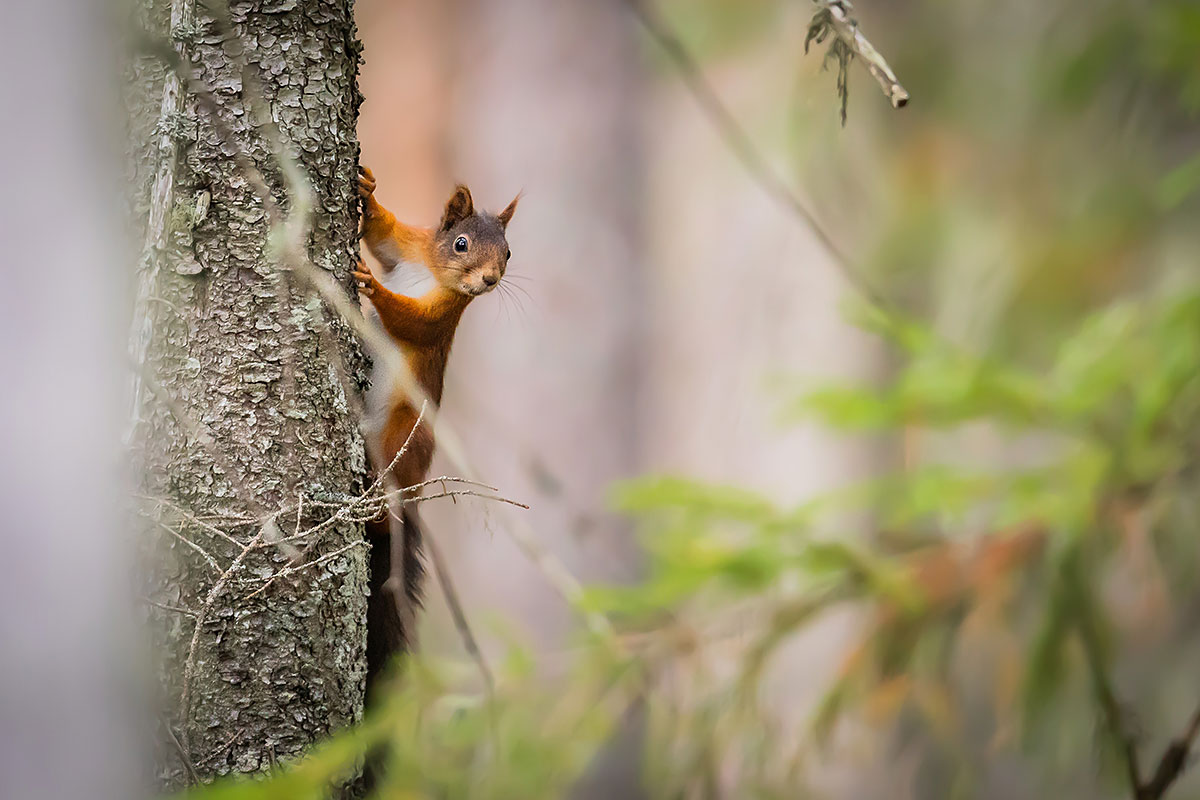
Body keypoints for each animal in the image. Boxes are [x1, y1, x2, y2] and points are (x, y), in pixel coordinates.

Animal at [354, 165, 518, 699]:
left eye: (509, 253)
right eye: (461, 243)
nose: (489, 280)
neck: (432, 270)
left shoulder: (442, 316)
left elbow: (412, 321)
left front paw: (374, 289)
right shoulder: (408, 246)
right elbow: (383, 236)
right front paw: (368, 190)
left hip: (408, 429)